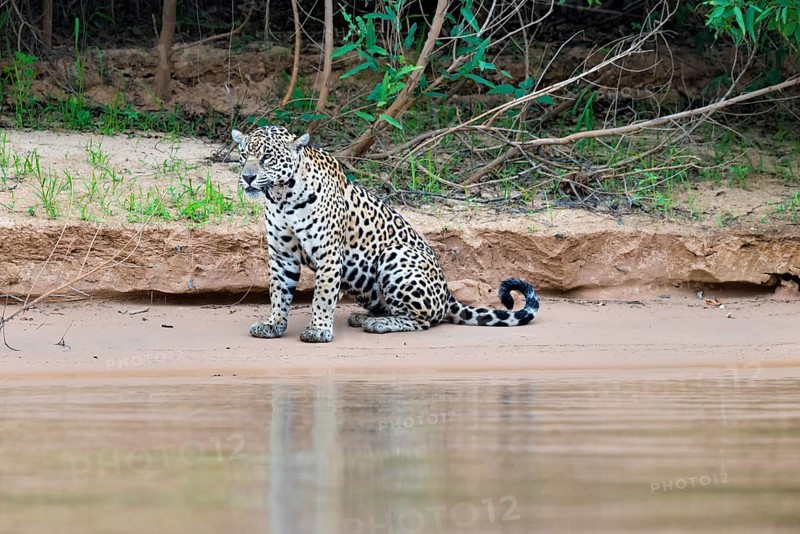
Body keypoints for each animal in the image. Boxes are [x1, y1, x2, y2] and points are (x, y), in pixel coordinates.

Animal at [231, 126, 540, 343]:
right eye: (244, 156)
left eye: (267, 157)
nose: (247, 177)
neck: (282, 197)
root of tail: (448, 295)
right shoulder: (281, 255)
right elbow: (278, 292)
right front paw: (273, 324)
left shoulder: (329, 254)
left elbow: (323, 295)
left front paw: (318, 329)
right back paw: (363, 317)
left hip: (396, 256)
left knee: (425, 320)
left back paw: (378, 324)